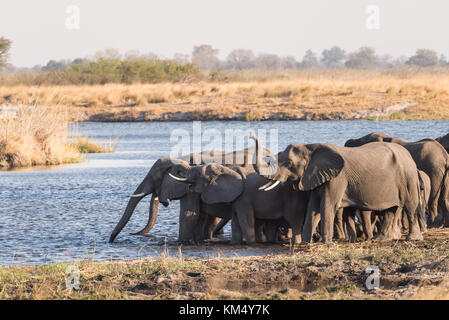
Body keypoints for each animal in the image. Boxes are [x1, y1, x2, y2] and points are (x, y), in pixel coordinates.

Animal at [256, 141, 424, 244]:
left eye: (288, 163)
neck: (311, 147)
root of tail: (409, 157)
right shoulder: (316, 176)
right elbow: (313, 208)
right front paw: (305, 243)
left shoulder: (337, 178)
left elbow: (327, 206)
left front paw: (326, 243)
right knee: (390, 209)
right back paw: (381, 239)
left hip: (408, 178)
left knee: (410, 206)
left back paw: (412, 239)